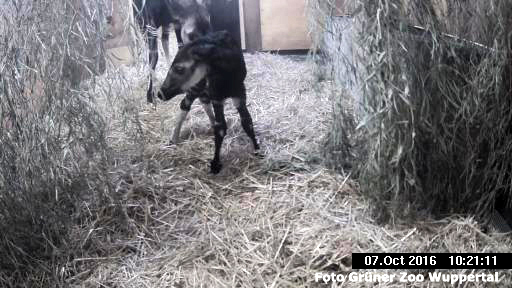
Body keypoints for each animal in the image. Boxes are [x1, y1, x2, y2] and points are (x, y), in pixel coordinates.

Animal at [157, 31, 262, 173]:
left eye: (179, 68)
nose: (160, 94)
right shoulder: (217, 96)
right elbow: (221, 127)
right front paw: (215, 164)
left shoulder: (239, 94)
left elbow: (247, 122)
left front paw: (257, 150)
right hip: (195, 88)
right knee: (185, 105)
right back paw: (173, 138)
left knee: (204, 102)